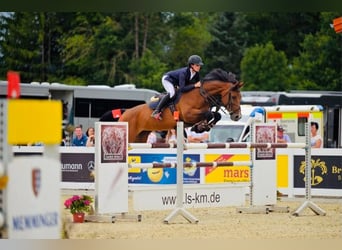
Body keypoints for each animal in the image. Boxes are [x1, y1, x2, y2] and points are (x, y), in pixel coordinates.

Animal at [101, 68, 243, 143]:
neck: (201, 95)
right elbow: (209, 114)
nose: (238, 117)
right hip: (130, 134)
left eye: (240, 97)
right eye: (233, 97)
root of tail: (125, 112)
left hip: (141, 136)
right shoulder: (189, 115)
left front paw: (203, 126)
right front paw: (201, 127)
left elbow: (216, 115)